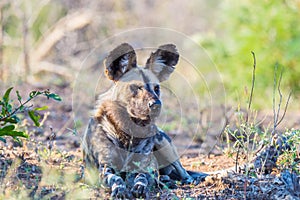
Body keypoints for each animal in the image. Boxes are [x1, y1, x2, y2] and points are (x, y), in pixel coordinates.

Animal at [83, 43, 207, 198]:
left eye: (156, 88)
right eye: (136, 87)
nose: (156, 104)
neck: (129, 134)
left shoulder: (146, 165)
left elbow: (142, 176)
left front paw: (140, 186)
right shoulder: (105, 167)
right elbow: (115, 178)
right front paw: (120, 189)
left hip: (163, 143)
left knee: (183, 172)